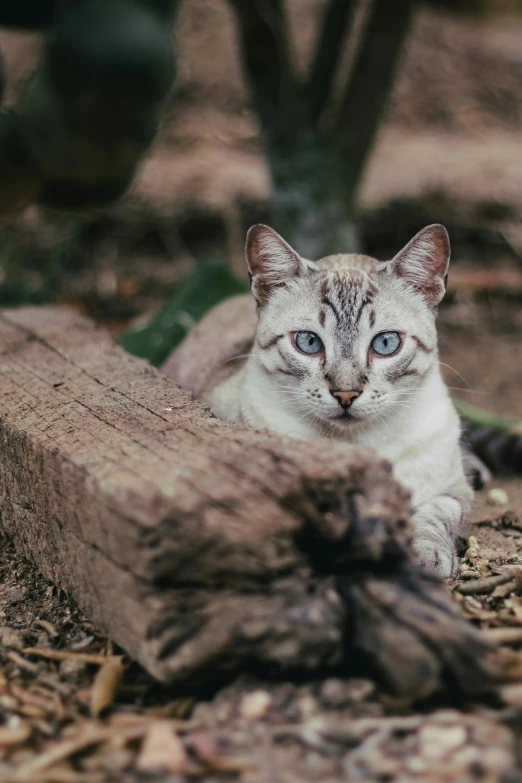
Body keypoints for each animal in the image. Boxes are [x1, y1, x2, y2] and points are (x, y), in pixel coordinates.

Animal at [162, 224, 472, 580]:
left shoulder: (453, 489)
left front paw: (425, 555)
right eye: (309, 342)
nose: (346, 393)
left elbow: (431, 515)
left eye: (385, 343)